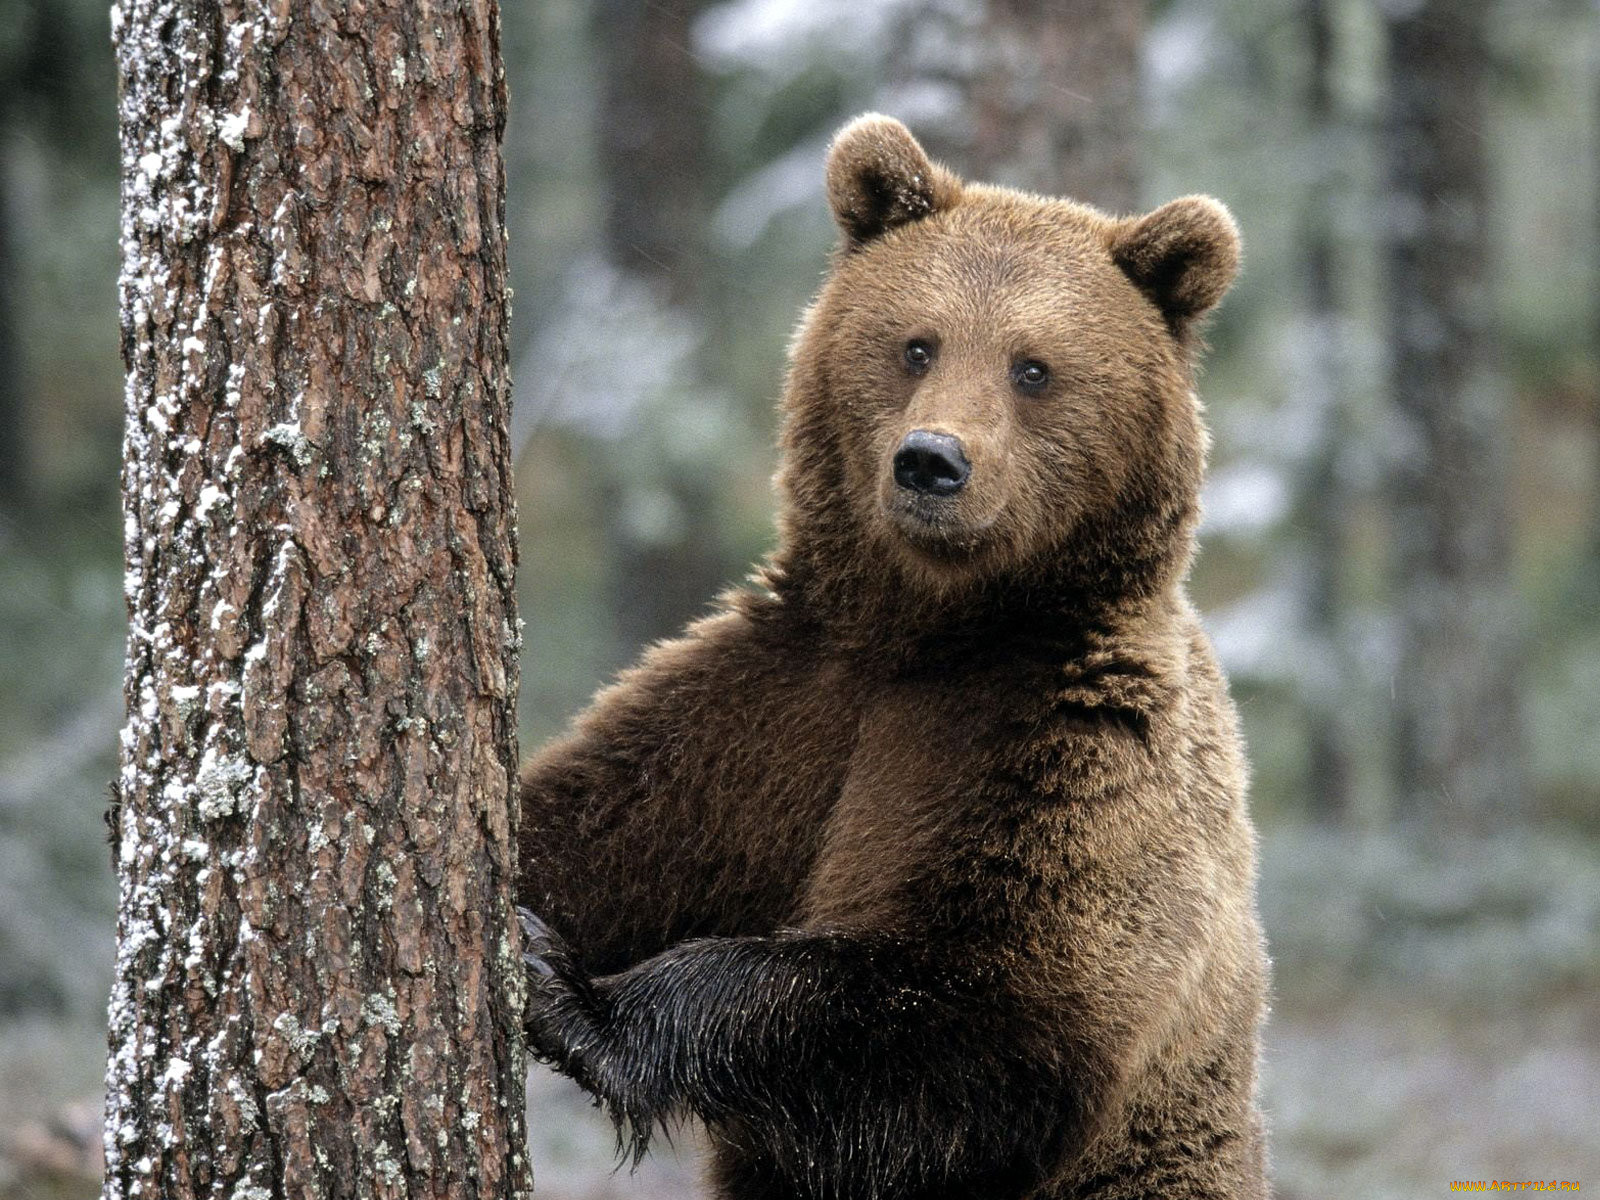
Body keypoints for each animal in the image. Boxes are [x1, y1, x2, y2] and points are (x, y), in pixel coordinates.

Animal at [518, 115, 1267, 1200]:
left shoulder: (1065, 750)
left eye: (1032, 367)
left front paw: (576, 999)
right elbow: (594, 823)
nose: (931, 462)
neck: (933, 629)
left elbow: (975, 1014)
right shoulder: (775, 708)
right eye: (917, 343)